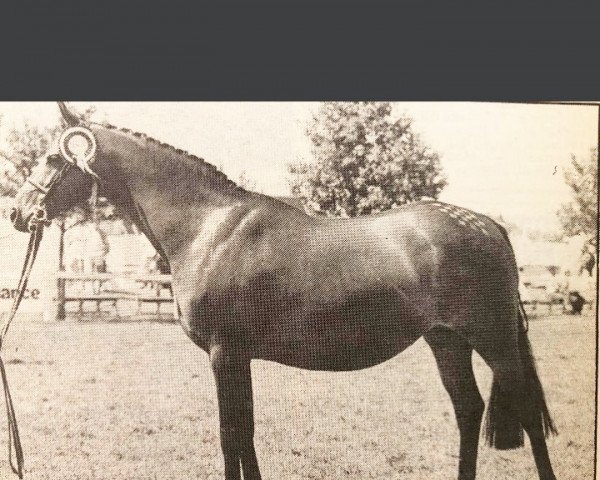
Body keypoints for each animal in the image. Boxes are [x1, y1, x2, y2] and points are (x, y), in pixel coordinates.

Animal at [9, 102, 556, 480]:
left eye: (52, 158)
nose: (17, 213)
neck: (209, 228)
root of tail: (487, 224)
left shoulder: (225, 353)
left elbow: (232, 435)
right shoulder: (237, 356)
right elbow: (244, 433)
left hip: (495, 340)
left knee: (528, 413)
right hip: (446, 341)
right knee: (468, 410)